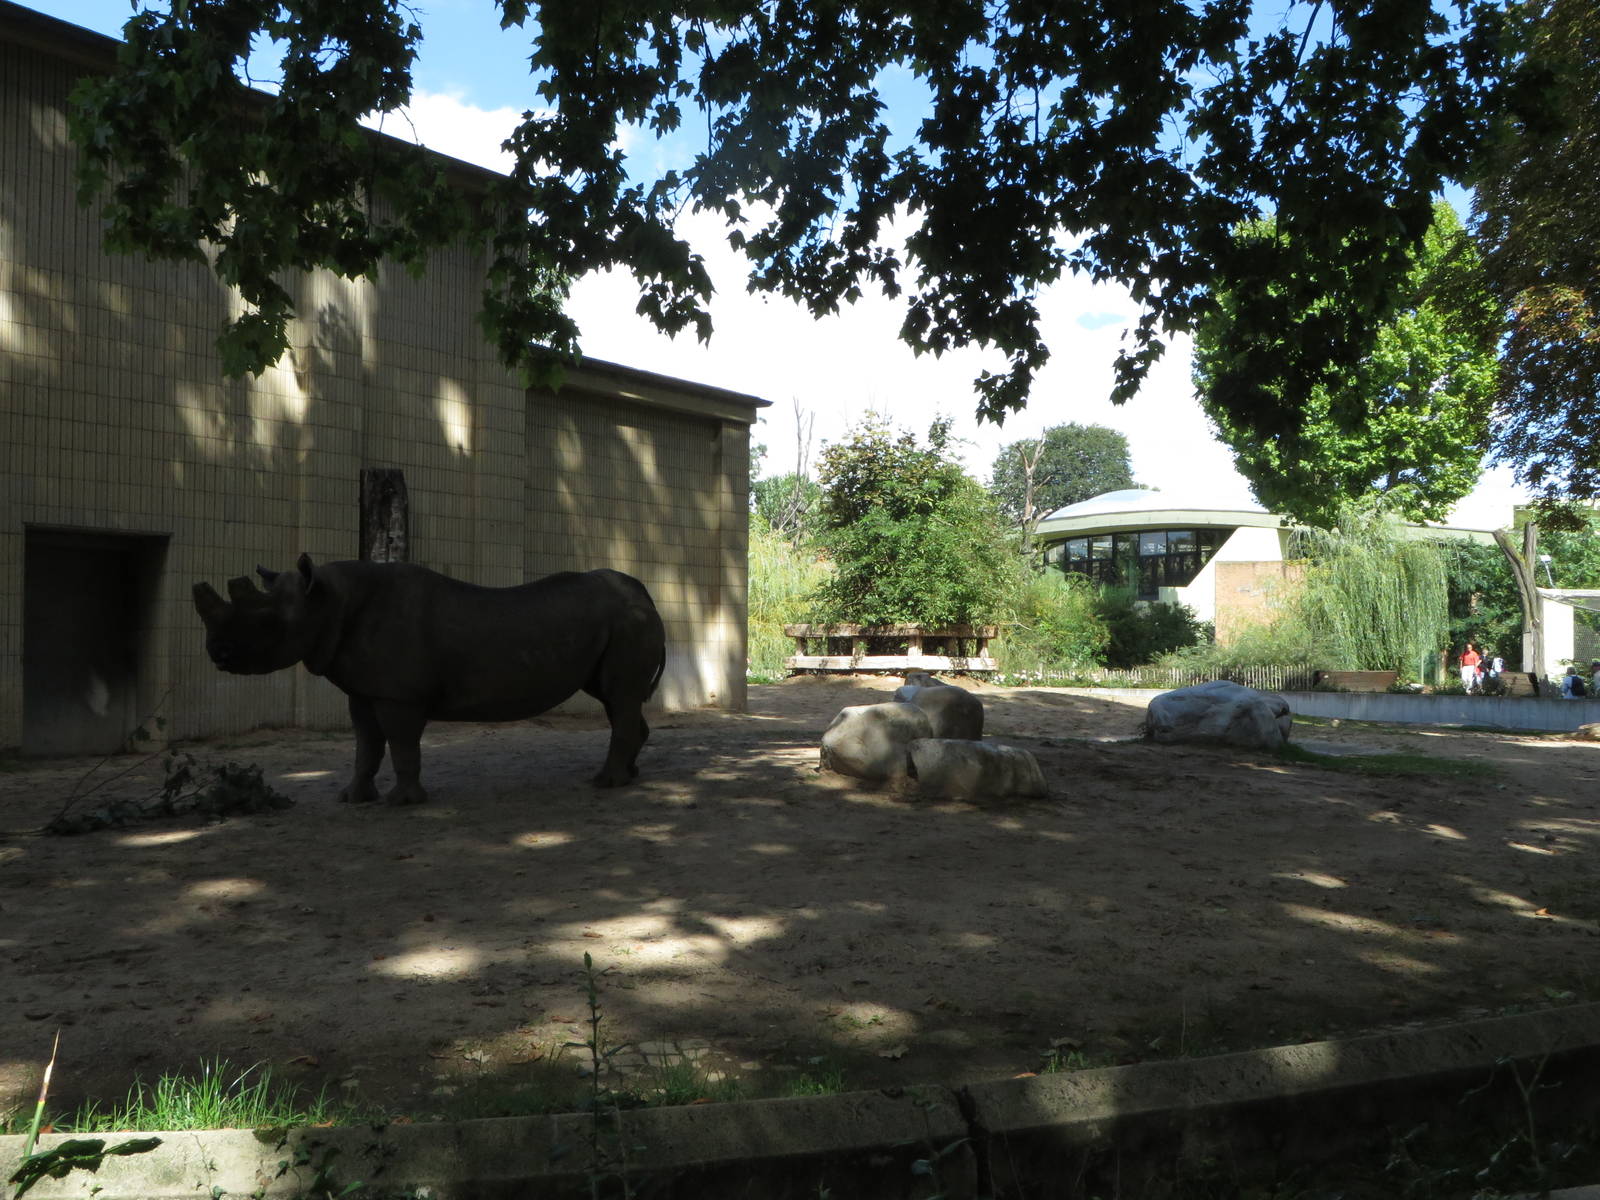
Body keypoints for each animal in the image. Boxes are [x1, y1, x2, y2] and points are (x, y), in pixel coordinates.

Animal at [192, 554, 666, 804]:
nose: (216, 654)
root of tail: (647, 595)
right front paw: (353, 798)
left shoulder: (399, 695)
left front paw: (403, 802)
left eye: (268, 625)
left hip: (627, 621)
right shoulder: (364, 689)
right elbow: (366, 744)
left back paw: (606, 784)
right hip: (621, 622)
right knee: (616, 698)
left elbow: (401, 743)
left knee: (620, 697)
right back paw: (631, 774)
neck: (327, 601)